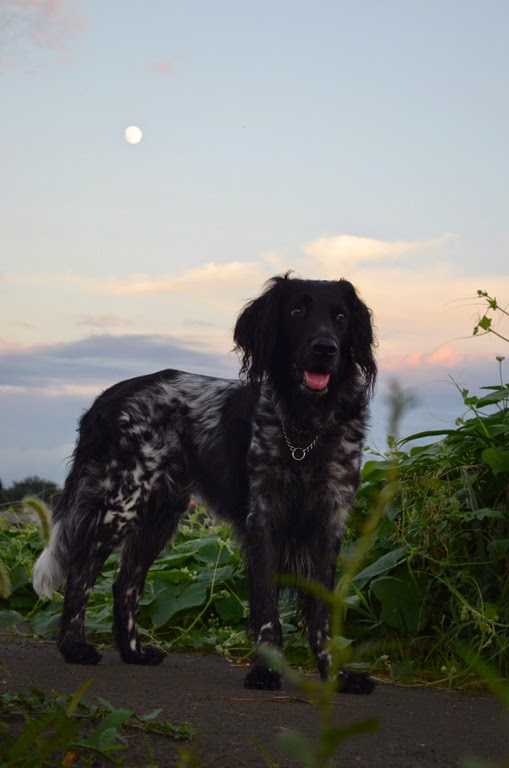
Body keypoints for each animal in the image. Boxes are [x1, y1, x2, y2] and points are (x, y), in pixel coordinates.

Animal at [33, 273, 377, 693]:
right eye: (297, 311)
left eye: (341, 317)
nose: (325, 349)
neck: (306, 427)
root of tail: (106, 398)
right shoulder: (262, 521)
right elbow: (267, 609)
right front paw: (266, 672)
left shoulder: (329, 524)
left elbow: (323, 616)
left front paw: (335, 677)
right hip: (122, 503)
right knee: (81, 572)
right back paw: (74, 648)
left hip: (160, 516)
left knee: (125, 584)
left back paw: (134, 652)